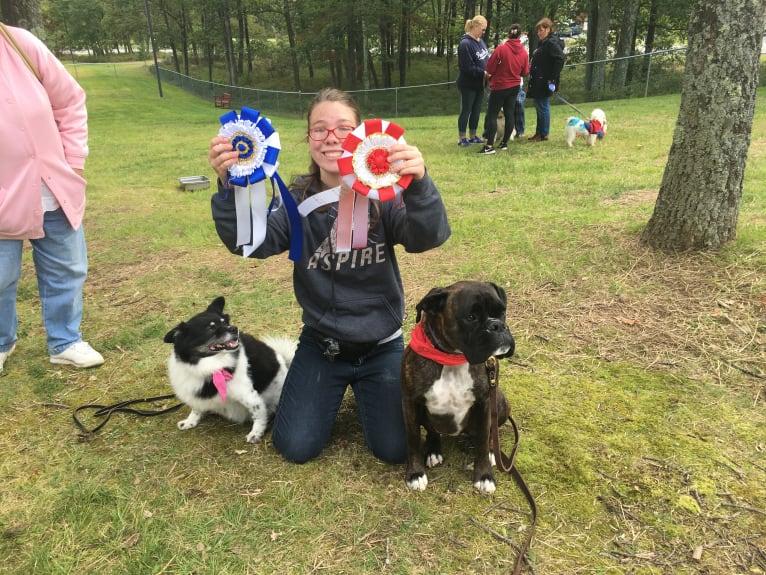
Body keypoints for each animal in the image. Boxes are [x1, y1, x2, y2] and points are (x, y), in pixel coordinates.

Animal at [164, 296, 296, 446]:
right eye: (211, 327)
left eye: (225, 322)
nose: (234, 328)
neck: (210, 365)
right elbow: (196, 409)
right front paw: (190, 421)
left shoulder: (249, 395)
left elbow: (258, 414)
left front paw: (256, 433)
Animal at [402, 282, 516, 492]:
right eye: (471, 317)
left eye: (502, 312)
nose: (497, 325)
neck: (453, 357)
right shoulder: (410, 402)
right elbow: (413, 439)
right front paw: (415, 473)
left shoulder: (485, 402)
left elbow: (482, 440)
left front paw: (484, 475)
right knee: (432, 431)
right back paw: (433, 451)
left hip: (500, 401)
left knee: (489, 434)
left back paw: (491, 452)